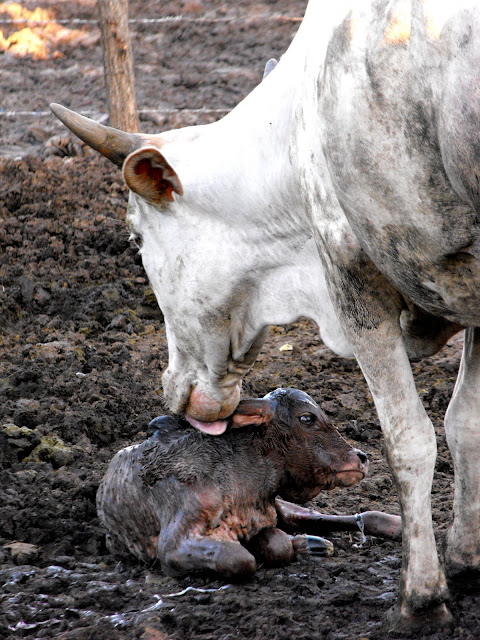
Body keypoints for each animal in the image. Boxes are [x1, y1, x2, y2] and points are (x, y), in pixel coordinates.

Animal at [98, 388, 402, 576]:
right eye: (307, 417)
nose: (361, 457)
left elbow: (275, 542)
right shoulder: (173, 544)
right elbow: (242, 559)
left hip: (283, 509)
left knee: (321, 516)